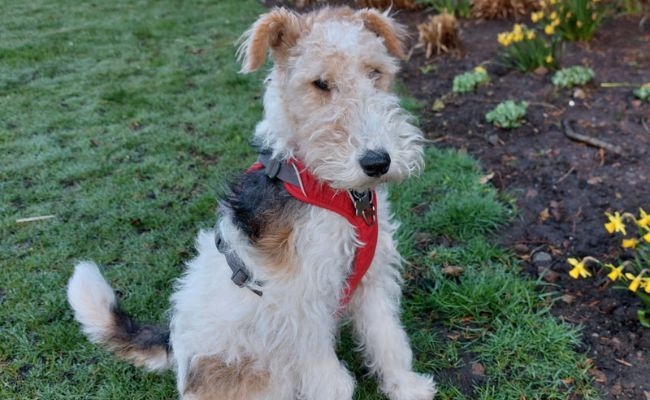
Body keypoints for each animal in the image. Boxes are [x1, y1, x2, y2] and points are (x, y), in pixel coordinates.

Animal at [68, 7, 436, 400]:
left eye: (375, 72)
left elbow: (388, 339)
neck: (335, 194)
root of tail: (173, 340)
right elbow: (327, 375)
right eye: (320, 83)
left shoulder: (373, 279)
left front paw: (407, 387)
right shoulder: (303, 303)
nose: (377, 162)